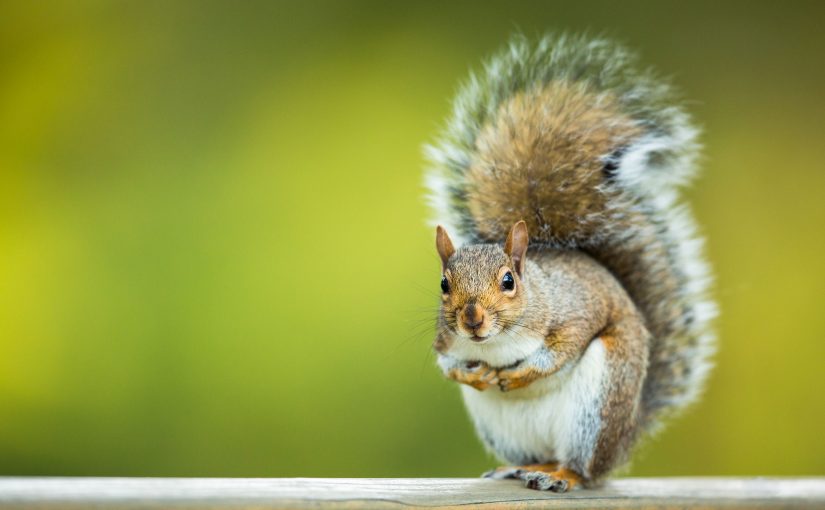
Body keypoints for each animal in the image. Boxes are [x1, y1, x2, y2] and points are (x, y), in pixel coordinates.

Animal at [425, 34, 716, 492]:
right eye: (443, 284)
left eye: (508, 281)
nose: (472, 320)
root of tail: (627, 435)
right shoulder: (445, 340)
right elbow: (447, 364)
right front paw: (474, 374)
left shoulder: (575, 312)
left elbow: (561, 350)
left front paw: (519, 375)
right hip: (505, 430)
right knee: (538, 456)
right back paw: (522, 468)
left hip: (597, 405)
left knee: (584, 468)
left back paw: (562, 476)